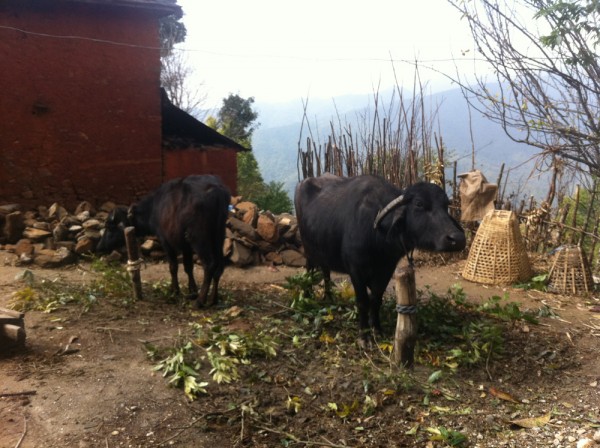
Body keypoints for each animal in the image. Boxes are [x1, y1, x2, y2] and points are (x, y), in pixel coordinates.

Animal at [97, 175, 231, 308]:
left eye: (109, 227)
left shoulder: (166, 242)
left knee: (210, 264)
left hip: (198, 238)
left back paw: (200, 301)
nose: (99, 246)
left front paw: (175, 290)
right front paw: (192, 290)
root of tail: (217, 190)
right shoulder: (185, 245)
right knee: (219, 266)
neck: (154, 208)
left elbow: (173, 267)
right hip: (219, 236)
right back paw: (213, 299)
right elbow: (188, 267)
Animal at [292, 173, 466, 344]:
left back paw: (329, 298)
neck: (377, 234)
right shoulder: (356, 270)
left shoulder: (386, 269)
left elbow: (376, 299)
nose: (457, 239)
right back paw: (306, 297)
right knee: (309, 271)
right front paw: (364, 336)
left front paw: (376, 329)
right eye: (419, 204)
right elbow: (362, 301)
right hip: (308, 249)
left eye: (445, 205)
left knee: (326, 272)